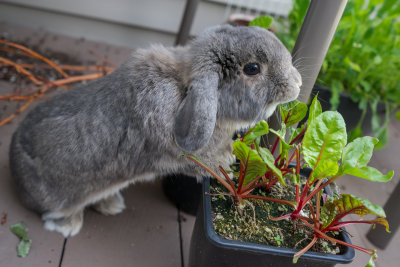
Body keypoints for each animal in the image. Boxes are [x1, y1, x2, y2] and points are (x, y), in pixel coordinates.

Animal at [8, 24, 300, 237]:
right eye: (252, 69)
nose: (297, 84)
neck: (183, 89)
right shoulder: (174, 156)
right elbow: (201, 162)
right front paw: (226, 163)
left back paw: (112, 204)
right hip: (59, 197)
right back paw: (68, 225)